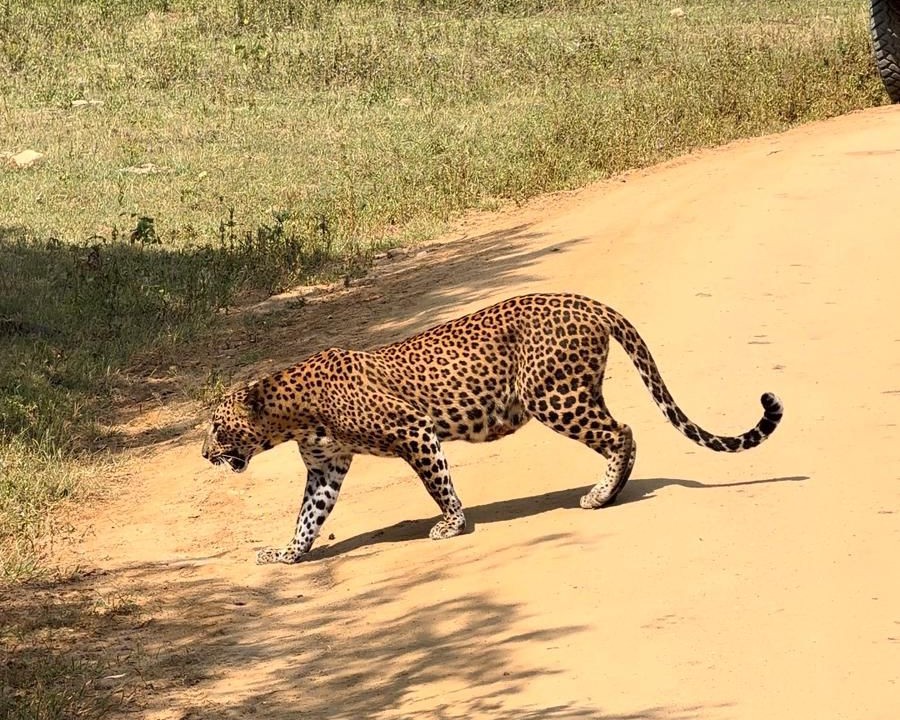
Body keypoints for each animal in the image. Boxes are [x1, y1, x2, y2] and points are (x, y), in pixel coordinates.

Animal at [202, 293, 783, 564]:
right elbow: (308, 517)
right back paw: (610, 492)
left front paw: (452, 524)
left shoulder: (413, 428)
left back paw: (600, 496)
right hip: (573, 392)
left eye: (215, 427)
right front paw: (286, 554)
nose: (204, 455)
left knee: (623, 432)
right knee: (622, 431)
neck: (291, 414)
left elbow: (438, 484)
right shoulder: (326, 467)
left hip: (553, 397)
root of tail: (589, 302)